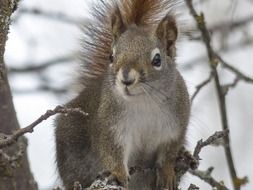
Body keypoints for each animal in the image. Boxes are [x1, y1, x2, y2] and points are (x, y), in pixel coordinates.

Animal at [55, 0, 190, 189]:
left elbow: (169, 153)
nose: (126, 79)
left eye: (157, 60)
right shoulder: (110, 125)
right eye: (111, 56)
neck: (144, 101)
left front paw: (167, 173)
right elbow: (112, 151)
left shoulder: (175, 127)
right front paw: (118, 174)